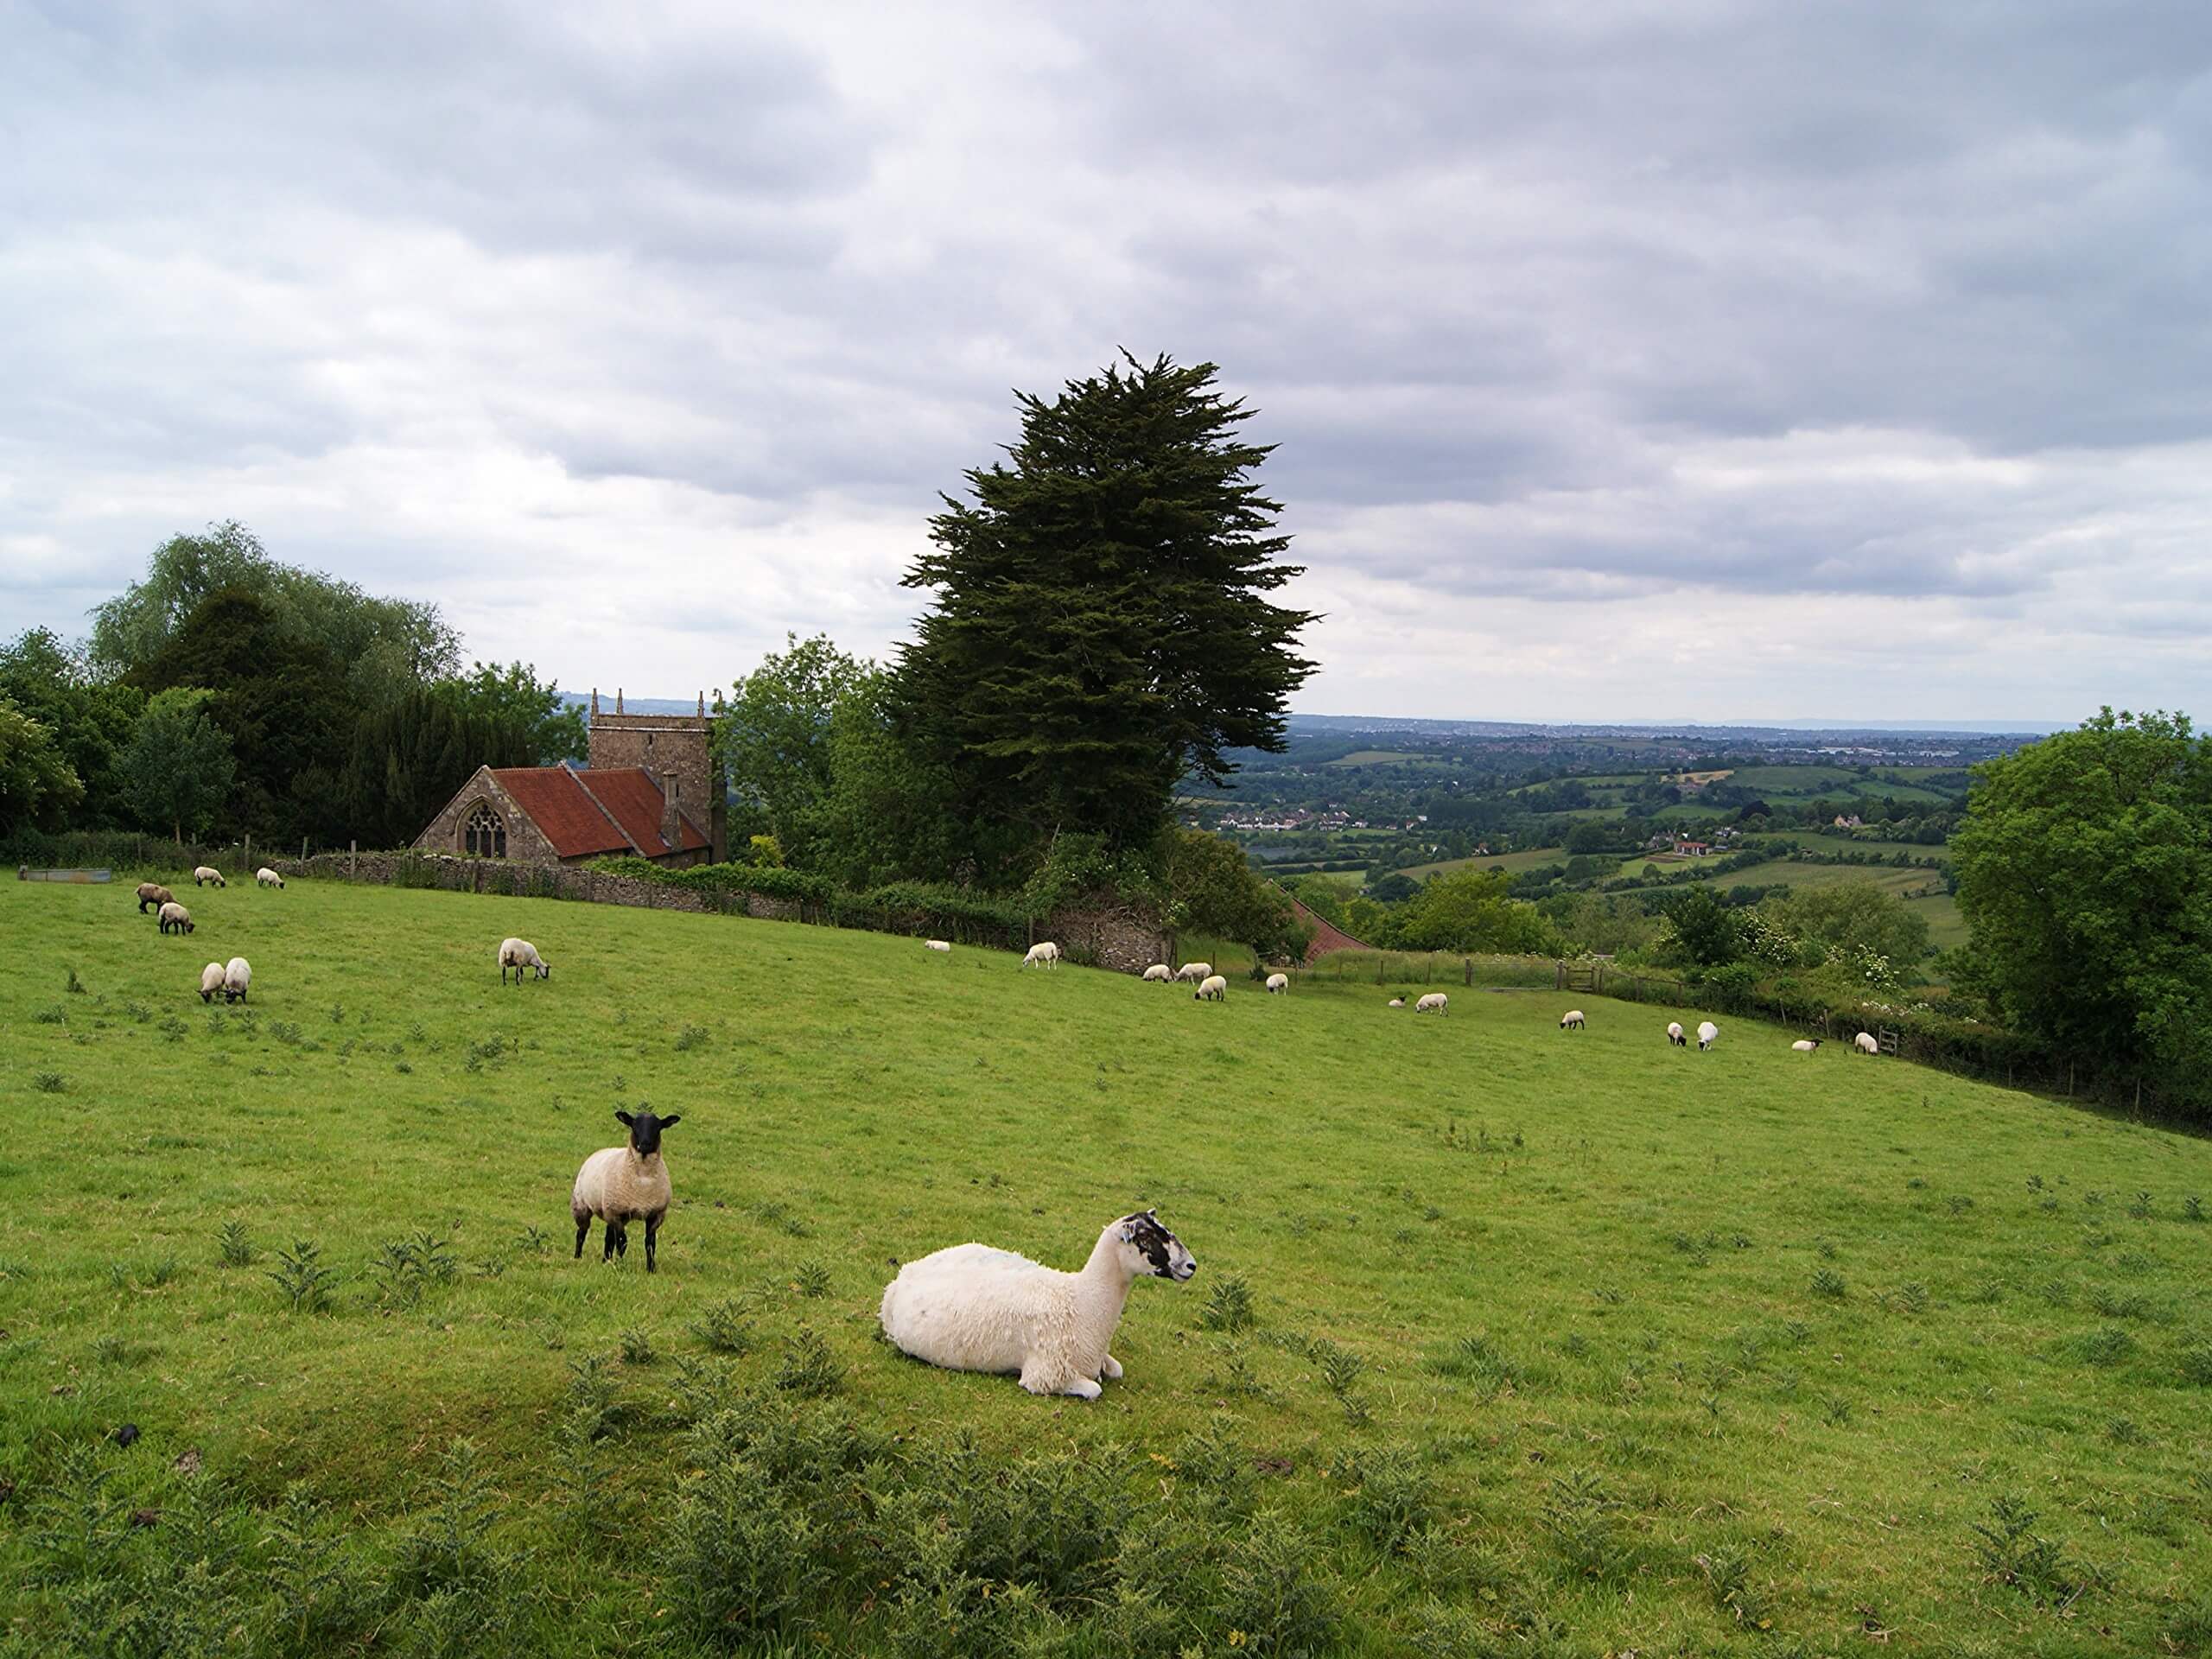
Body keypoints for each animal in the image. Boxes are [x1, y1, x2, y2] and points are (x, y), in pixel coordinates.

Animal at [566, 1119, 677, 1274]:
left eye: (658, 1127)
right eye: (634, 1126)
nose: (645, 1144)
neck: (643, 1180)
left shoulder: (656, 1215)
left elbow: (650, 1243)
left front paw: (651, 1268)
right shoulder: (617, 1213)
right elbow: (622, 1242)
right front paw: (621, 1265)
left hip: (608, 1210)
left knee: (608, 1237)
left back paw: (605, 1260)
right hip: (582, 1206)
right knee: (581, 1233)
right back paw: (578, 1257)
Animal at [875, 1211, 1203, 1407]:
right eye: (1146, 1238)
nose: (1191, 1266)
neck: (1081, 1302)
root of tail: (908, 1269)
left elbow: (1116, 1370)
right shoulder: (1045, 1375)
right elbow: (1094, 1389)